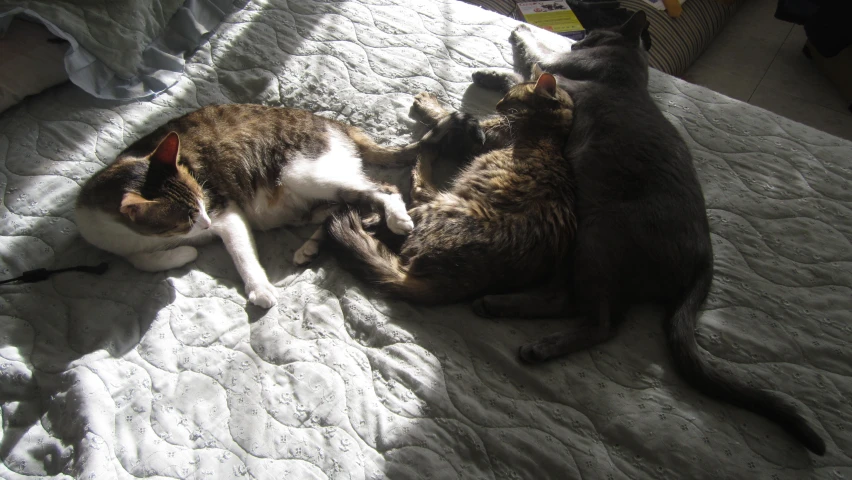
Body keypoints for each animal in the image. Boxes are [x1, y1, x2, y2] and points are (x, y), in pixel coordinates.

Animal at [78, 103, 418, 310]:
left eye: (201, 199)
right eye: (186, 218)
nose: (205, 223)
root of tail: (333, 122)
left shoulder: (226, 213)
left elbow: (243, 257)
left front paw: (260, 289)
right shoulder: (114, 241)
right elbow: (140, 261)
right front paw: (184, 253)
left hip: (304, 174)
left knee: (383, 190)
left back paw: (397, 219)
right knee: (347, 210)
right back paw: (309, 244)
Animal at [326, 72, 580, 302]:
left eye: (510, 99)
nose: (498, 105)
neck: (550, 131)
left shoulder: (477, 136)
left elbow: (447, 114)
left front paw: (428, 105)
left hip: (440, 205)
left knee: (412, 195)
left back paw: (422, 156)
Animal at [472, 10, 824, 454]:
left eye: (593, 30)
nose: (580, 37)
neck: (630, 70)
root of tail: (705, 258)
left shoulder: (556, 69)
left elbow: (526, 62)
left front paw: (508, 48)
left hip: (598, 236)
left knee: (601, 322)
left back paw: (534, 340)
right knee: (575, 303)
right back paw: (501, 307)